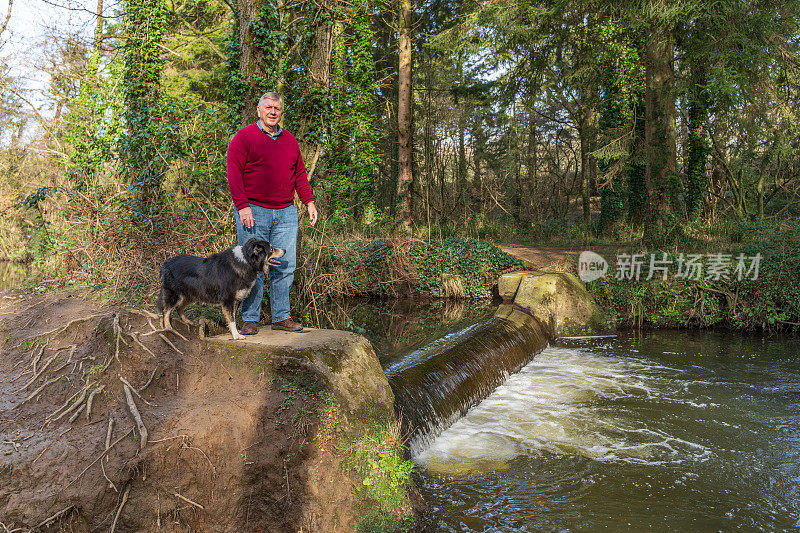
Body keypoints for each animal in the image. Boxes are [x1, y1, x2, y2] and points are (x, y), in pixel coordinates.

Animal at [156, 238, 284, 338]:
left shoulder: (235, 300)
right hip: (175, 294)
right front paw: (236, 336)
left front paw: (234, 332)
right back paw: (169, 328)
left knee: (179, 308)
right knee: (166, 310)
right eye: (271, 249)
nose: (285, 250)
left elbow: (232, 318)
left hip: (190, 295)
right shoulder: (228, 300)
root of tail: (165, 263)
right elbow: (231, 319)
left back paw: (189, 322)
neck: (247, 261)